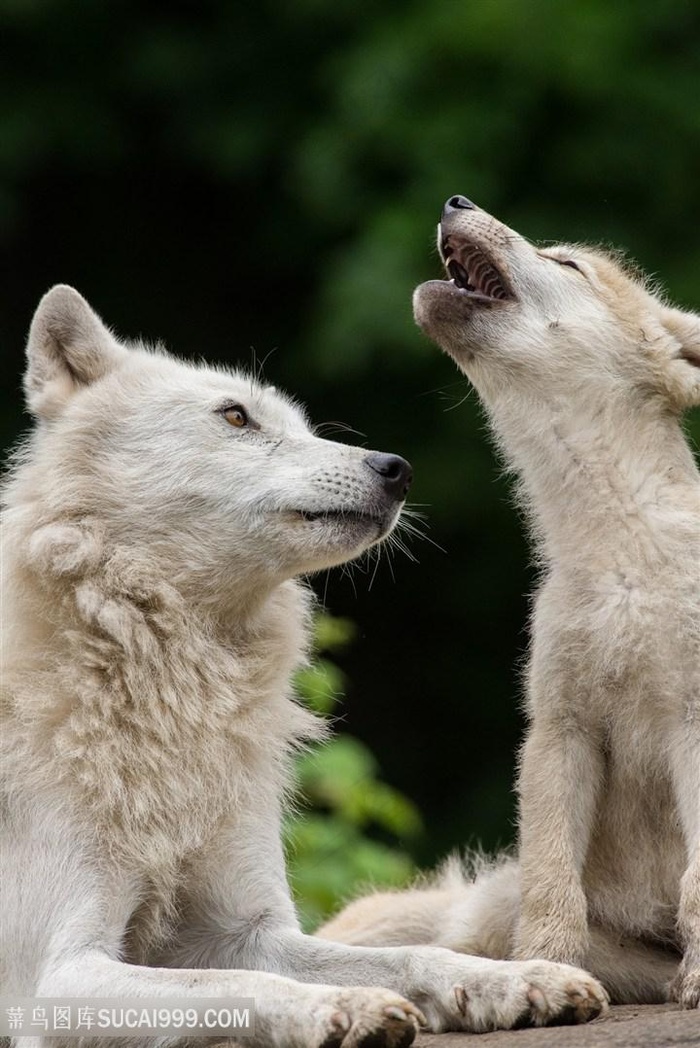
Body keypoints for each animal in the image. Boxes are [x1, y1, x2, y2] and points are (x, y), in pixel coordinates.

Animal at [0, 287, 607, 1048]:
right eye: (236, 416)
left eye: (306, 425)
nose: (396, 468)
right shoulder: (53, 977)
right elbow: (235, 987)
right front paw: (342, 1007)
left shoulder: (251, 929)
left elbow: (411, 954)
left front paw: (520, 980)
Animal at [318, 197, 699, 1006]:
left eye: (566, 263)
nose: (455, 202)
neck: (614, 557)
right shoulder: (558, 731)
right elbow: (554, 881)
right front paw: (549, 968)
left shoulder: (691, 720)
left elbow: (696, 885)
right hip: (491, 907)